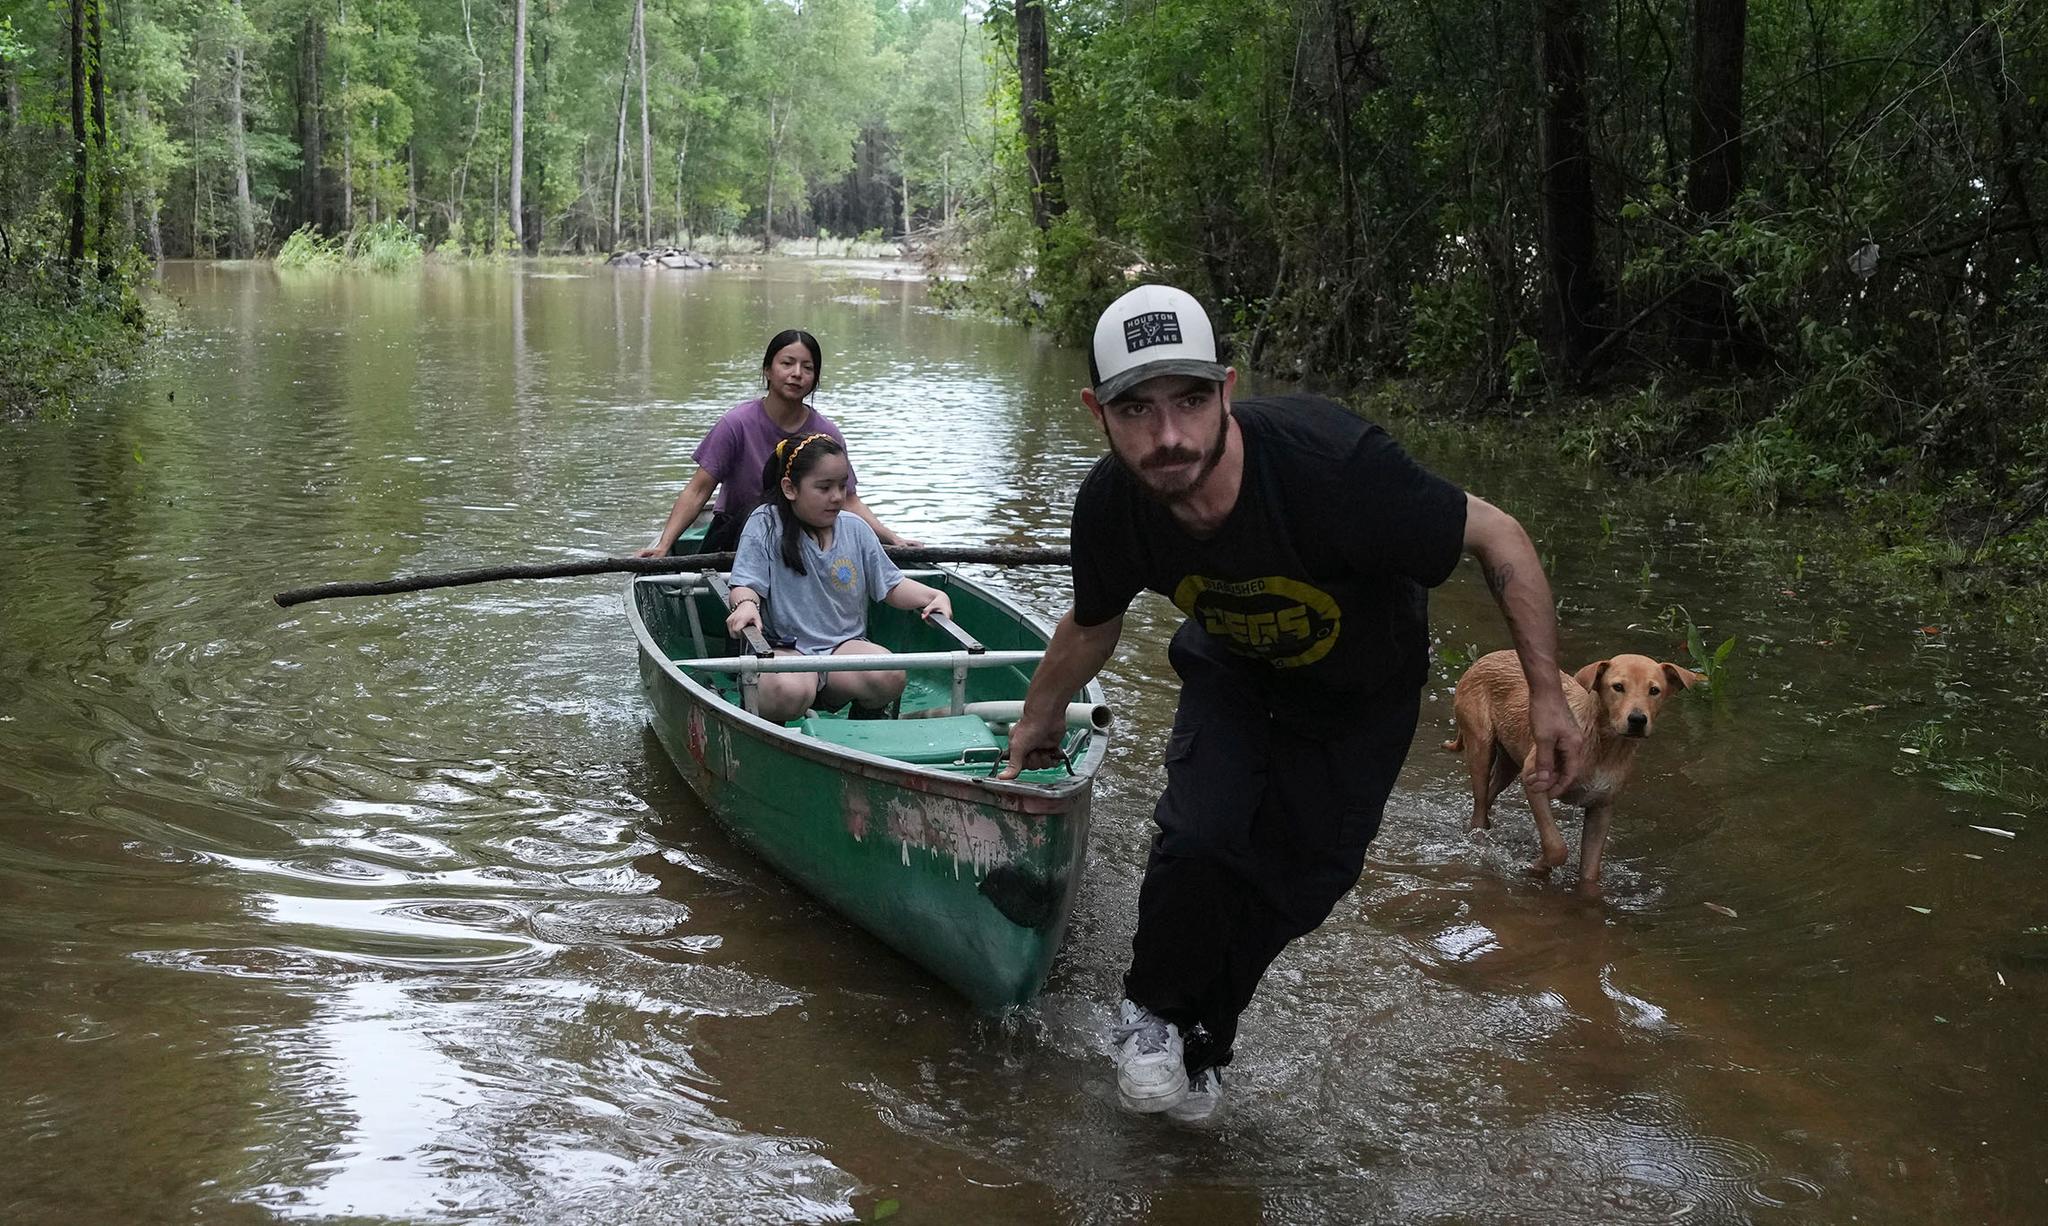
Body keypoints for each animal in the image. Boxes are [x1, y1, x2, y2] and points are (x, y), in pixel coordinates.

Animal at [1441, 650, 1712, 892]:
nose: (1637, 719)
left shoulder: (1602, 808)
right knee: (1479, 803)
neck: (1605, 747)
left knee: (1489, 796)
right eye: (1618, 687)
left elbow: (1591, 871)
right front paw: (1536, 867)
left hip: (1509, 761)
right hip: (1481, 745)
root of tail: (1484, 658)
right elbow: (1556, 847)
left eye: (1654, 691)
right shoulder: (1534, 781)